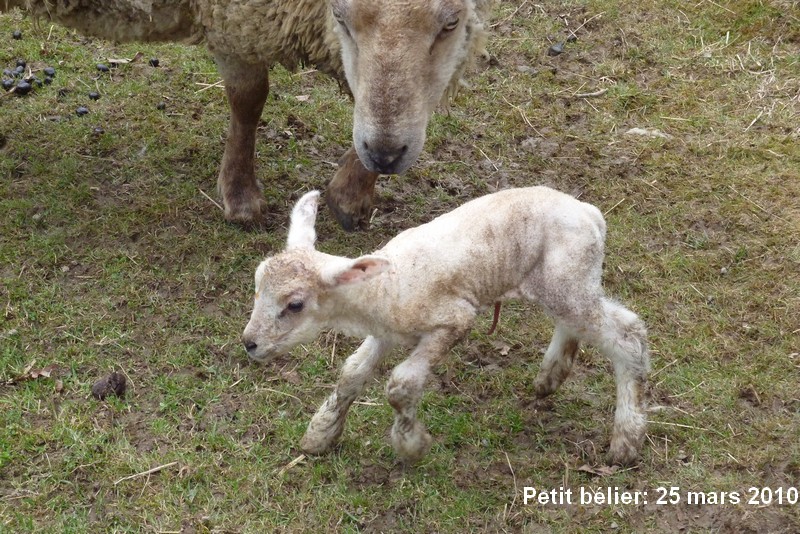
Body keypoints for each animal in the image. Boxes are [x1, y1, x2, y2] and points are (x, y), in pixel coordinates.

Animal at [3, 0, 494, 230]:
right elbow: (249, 99)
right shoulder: (234, 20)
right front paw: (240, 196)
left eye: (451, 24)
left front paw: (351, 192)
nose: (386, 154)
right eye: (341, 17)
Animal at [242, 188, 648, 468]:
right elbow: (351, 373)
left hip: (568, 276)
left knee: (626, 334)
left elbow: (401, 385)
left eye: (294, 305)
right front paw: (320, 433)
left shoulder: (453, 320)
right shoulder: (386, 332)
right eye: (257, 283)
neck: (384, 286)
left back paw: (626, 439)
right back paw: (550, 376)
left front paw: (412, 445)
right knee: (574, 321)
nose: (249, 343)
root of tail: (590, 213)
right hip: (562, 280)